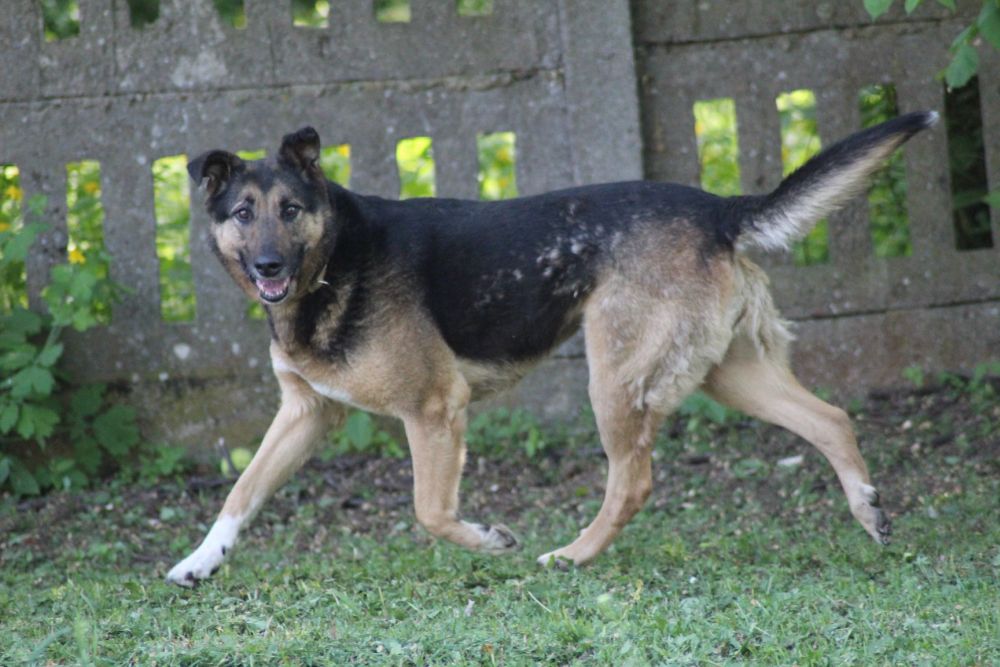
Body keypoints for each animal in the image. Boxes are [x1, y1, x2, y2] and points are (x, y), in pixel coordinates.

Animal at [166, 111, 936, 586]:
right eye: (243, 213)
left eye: (291, 210)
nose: (268, 265)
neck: (332, 264)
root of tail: (719, 209)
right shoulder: (305, 414)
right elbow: (241, 491)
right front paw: (200, 562)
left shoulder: (435, 408)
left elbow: (431, 511)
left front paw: (490, 540)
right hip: (727, 374)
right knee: (831, 419)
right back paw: (869, 512)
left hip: (616, 379)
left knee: (633, 482)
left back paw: (571, 555)